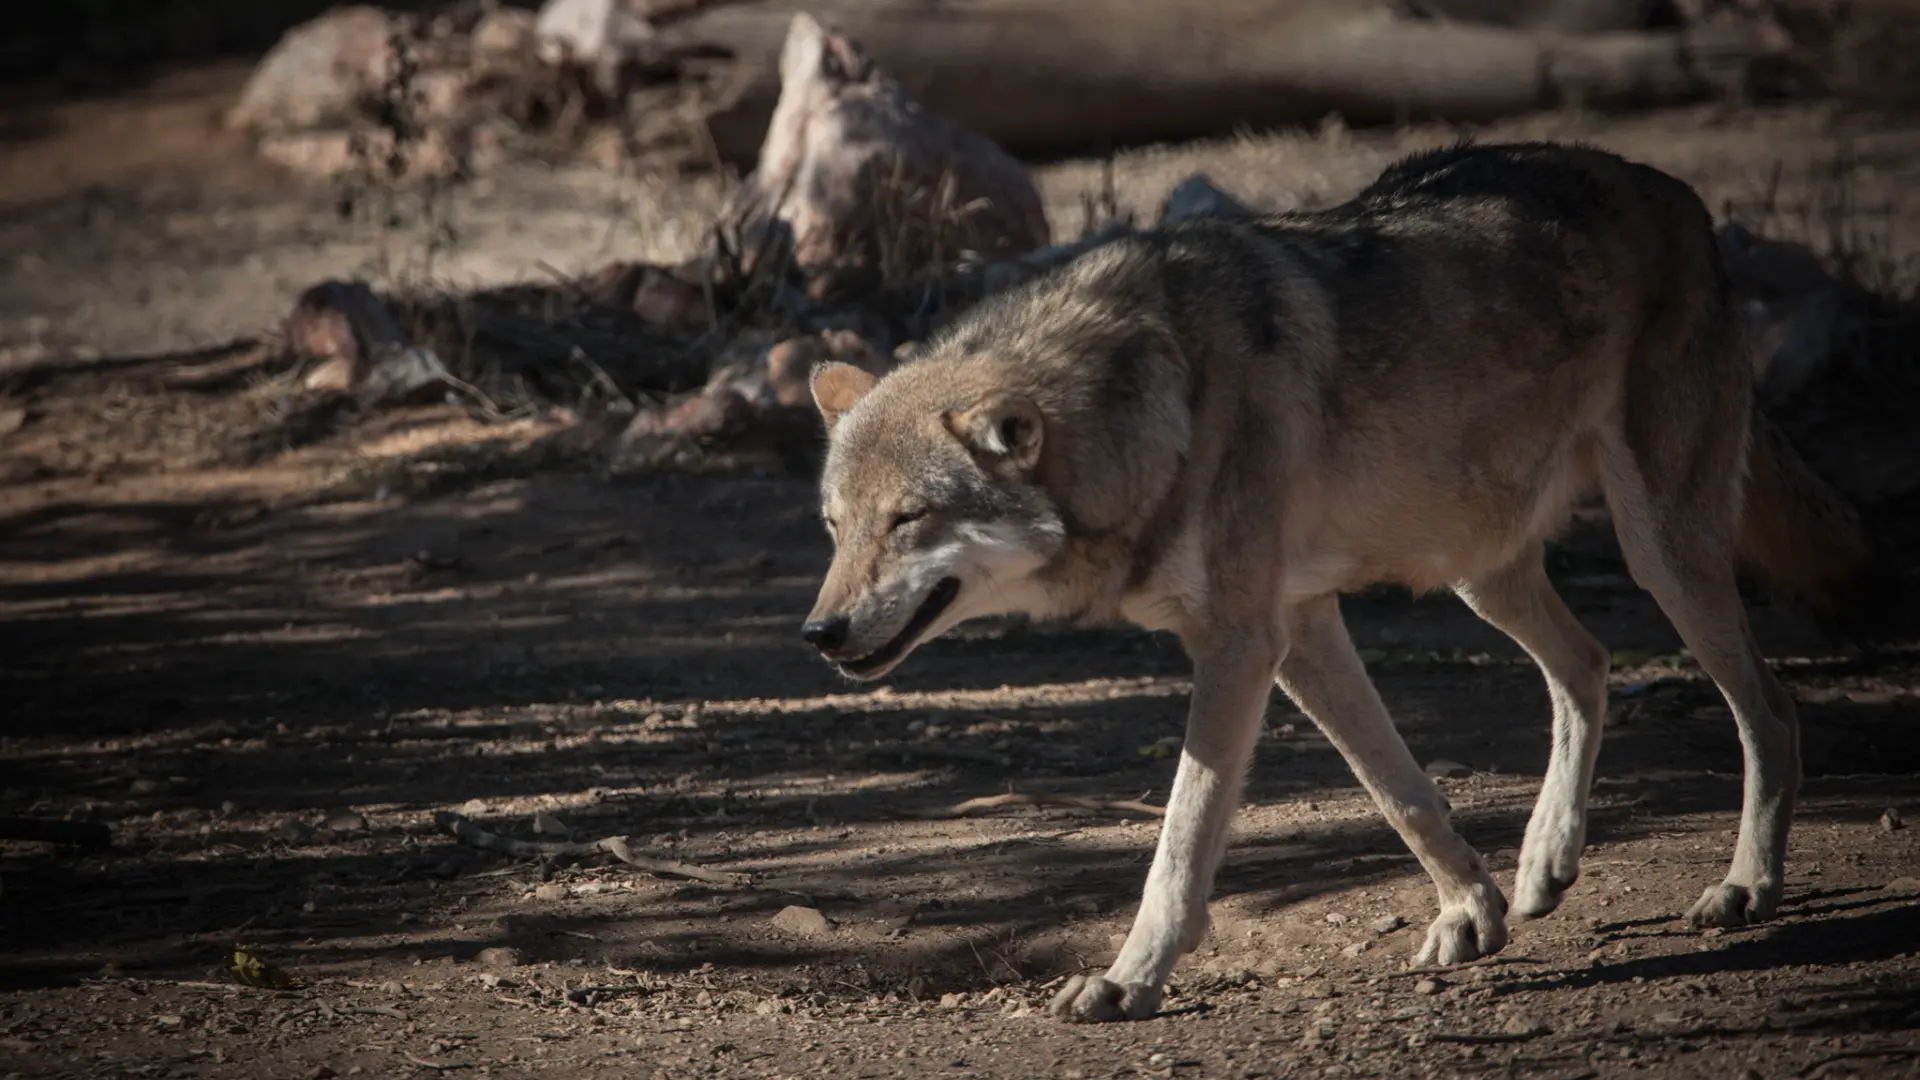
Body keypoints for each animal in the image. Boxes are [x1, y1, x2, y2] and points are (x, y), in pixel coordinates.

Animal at [798, 141, 1893, 1023]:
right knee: (1588, 663)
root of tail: (1681, 198)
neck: (1151, 403)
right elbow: (1398, 789)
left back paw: (1747, 885)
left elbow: (1181, 842)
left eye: (908, 521)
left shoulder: (1242, 644)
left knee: (1770, 707)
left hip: (1658, 551)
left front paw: (1128, 979)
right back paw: (1546, 861)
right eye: (835, 528)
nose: (822, 633)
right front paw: (1474, 914)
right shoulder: (1301, 629)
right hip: (1475, 569)